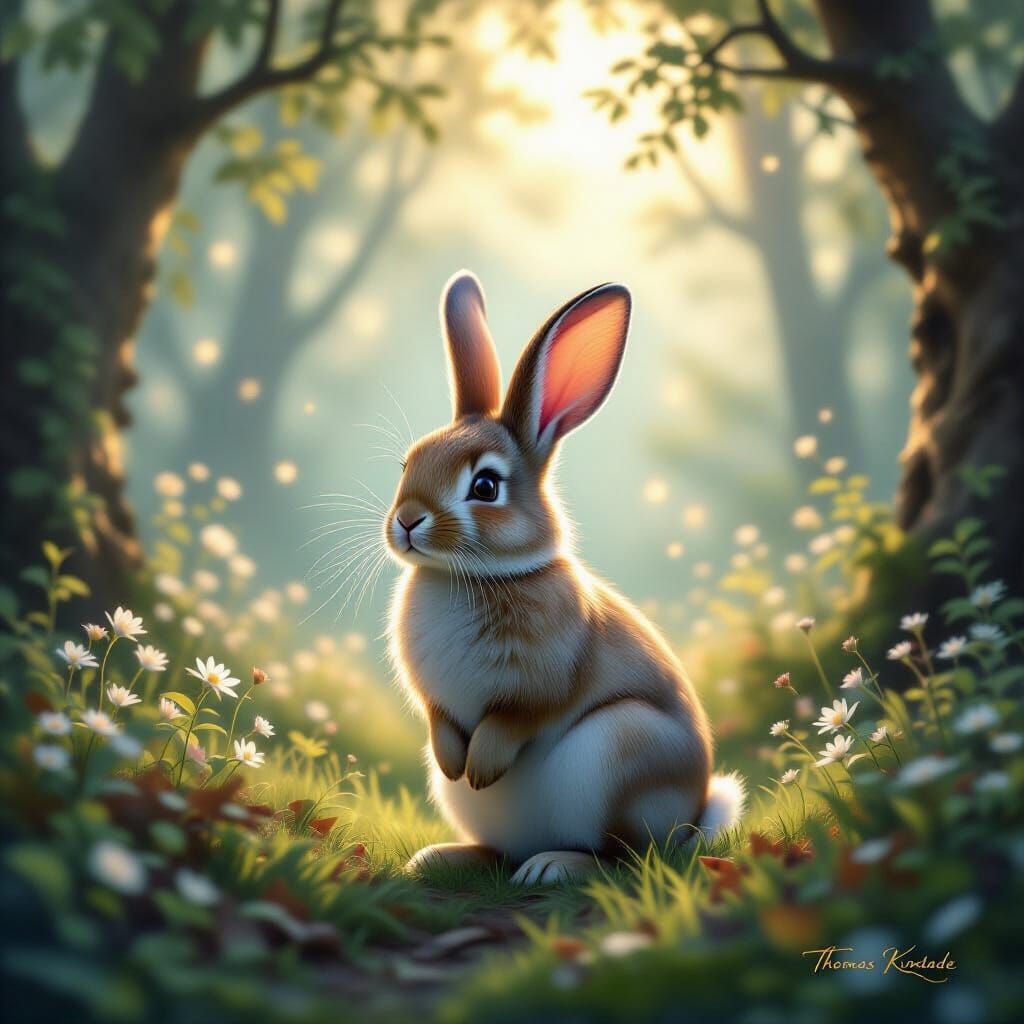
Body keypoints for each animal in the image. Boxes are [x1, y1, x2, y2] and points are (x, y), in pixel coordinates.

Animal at [385, 270, 745, 885]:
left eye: (485, 487)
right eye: (410, 464)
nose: (407, 521)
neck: (468, 577)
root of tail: (693, 817)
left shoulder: (543, 681)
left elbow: (518, 717)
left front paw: (481, 766)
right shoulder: (434, 700)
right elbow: (440, 719)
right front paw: (457, 763)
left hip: (620, 751)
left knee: (625, 856)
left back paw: (554, 866)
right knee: (501, 850)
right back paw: (443, 857)